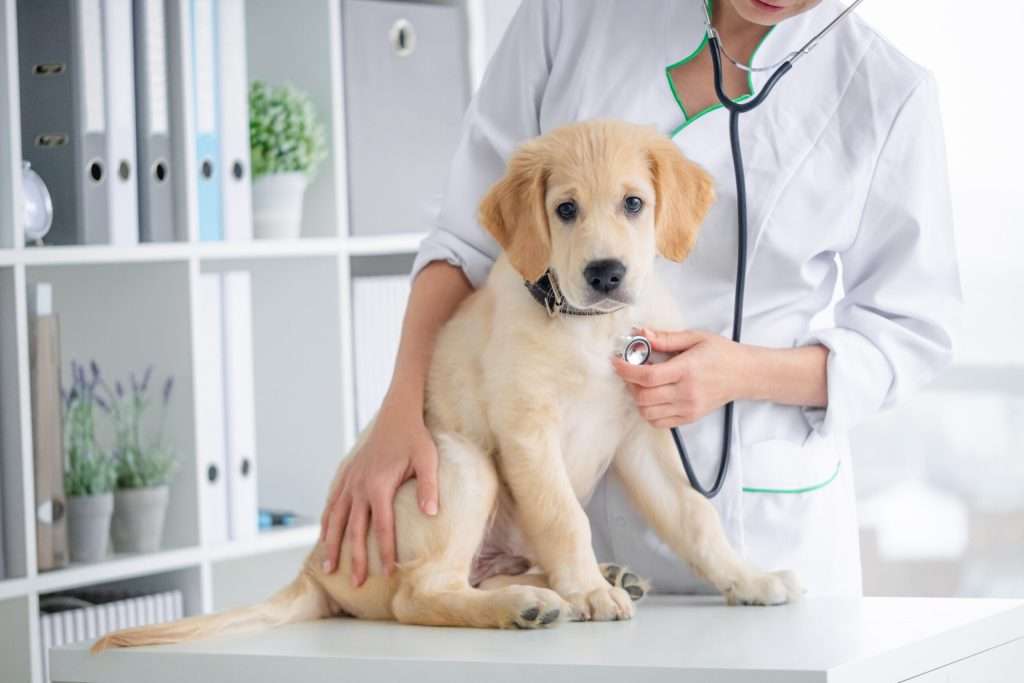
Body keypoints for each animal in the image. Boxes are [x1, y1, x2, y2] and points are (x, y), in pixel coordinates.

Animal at [94, 120, 798, 651]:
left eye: (634, 203)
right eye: (565, 209)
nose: (605, 273)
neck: (590, 327)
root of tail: (315, 567)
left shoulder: (645, 437)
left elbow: (695, 518)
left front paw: (748, 579)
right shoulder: (526, 433)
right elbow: (563, 516)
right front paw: (588, 591)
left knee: (467, 578)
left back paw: (586, 579)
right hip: (463, 464)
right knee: (421, 594)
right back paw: (536, 603)